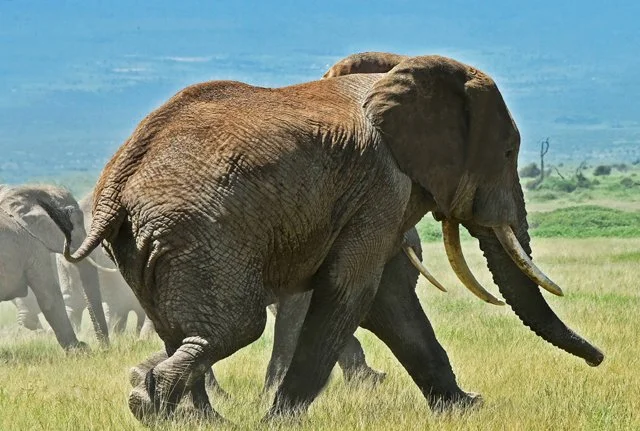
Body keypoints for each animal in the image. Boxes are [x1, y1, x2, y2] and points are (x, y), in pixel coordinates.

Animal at [46, 53, 604, 423]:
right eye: (508, 151)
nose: (600, 360)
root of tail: (116, 187)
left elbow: (390, 300)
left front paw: (465, 409)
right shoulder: (381, 184)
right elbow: (353, 293)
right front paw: (279, 421)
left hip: (148, 246)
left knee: (180, 331)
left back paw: (190, 415)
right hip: (201, 237)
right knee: (233, 327)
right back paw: (155, 401)